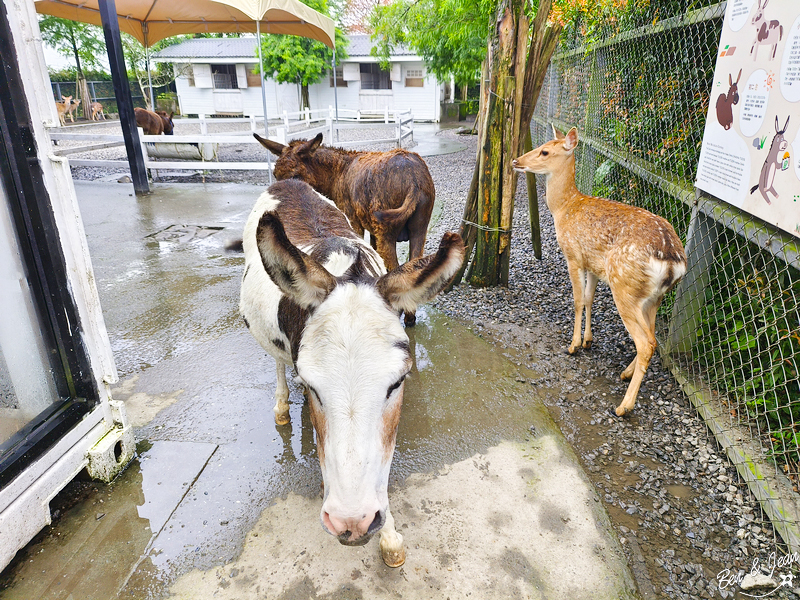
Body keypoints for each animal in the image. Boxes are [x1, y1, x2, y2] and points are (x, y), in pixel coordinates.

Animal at [512, 125, 688, 418]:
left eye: (545, 151)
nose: (516, 161)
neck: (565, 208)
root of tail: (674, 259)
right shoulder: (593, 264)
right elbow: (589, 299)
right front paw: (588, 341)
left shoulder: (573, 256)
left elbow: (576, 299)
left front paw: (573, 345)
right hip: (654, 297)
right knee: (652, 338)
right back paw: (626, 373)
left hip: (624, 285)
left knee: (645, 342)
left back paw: (624, 406)